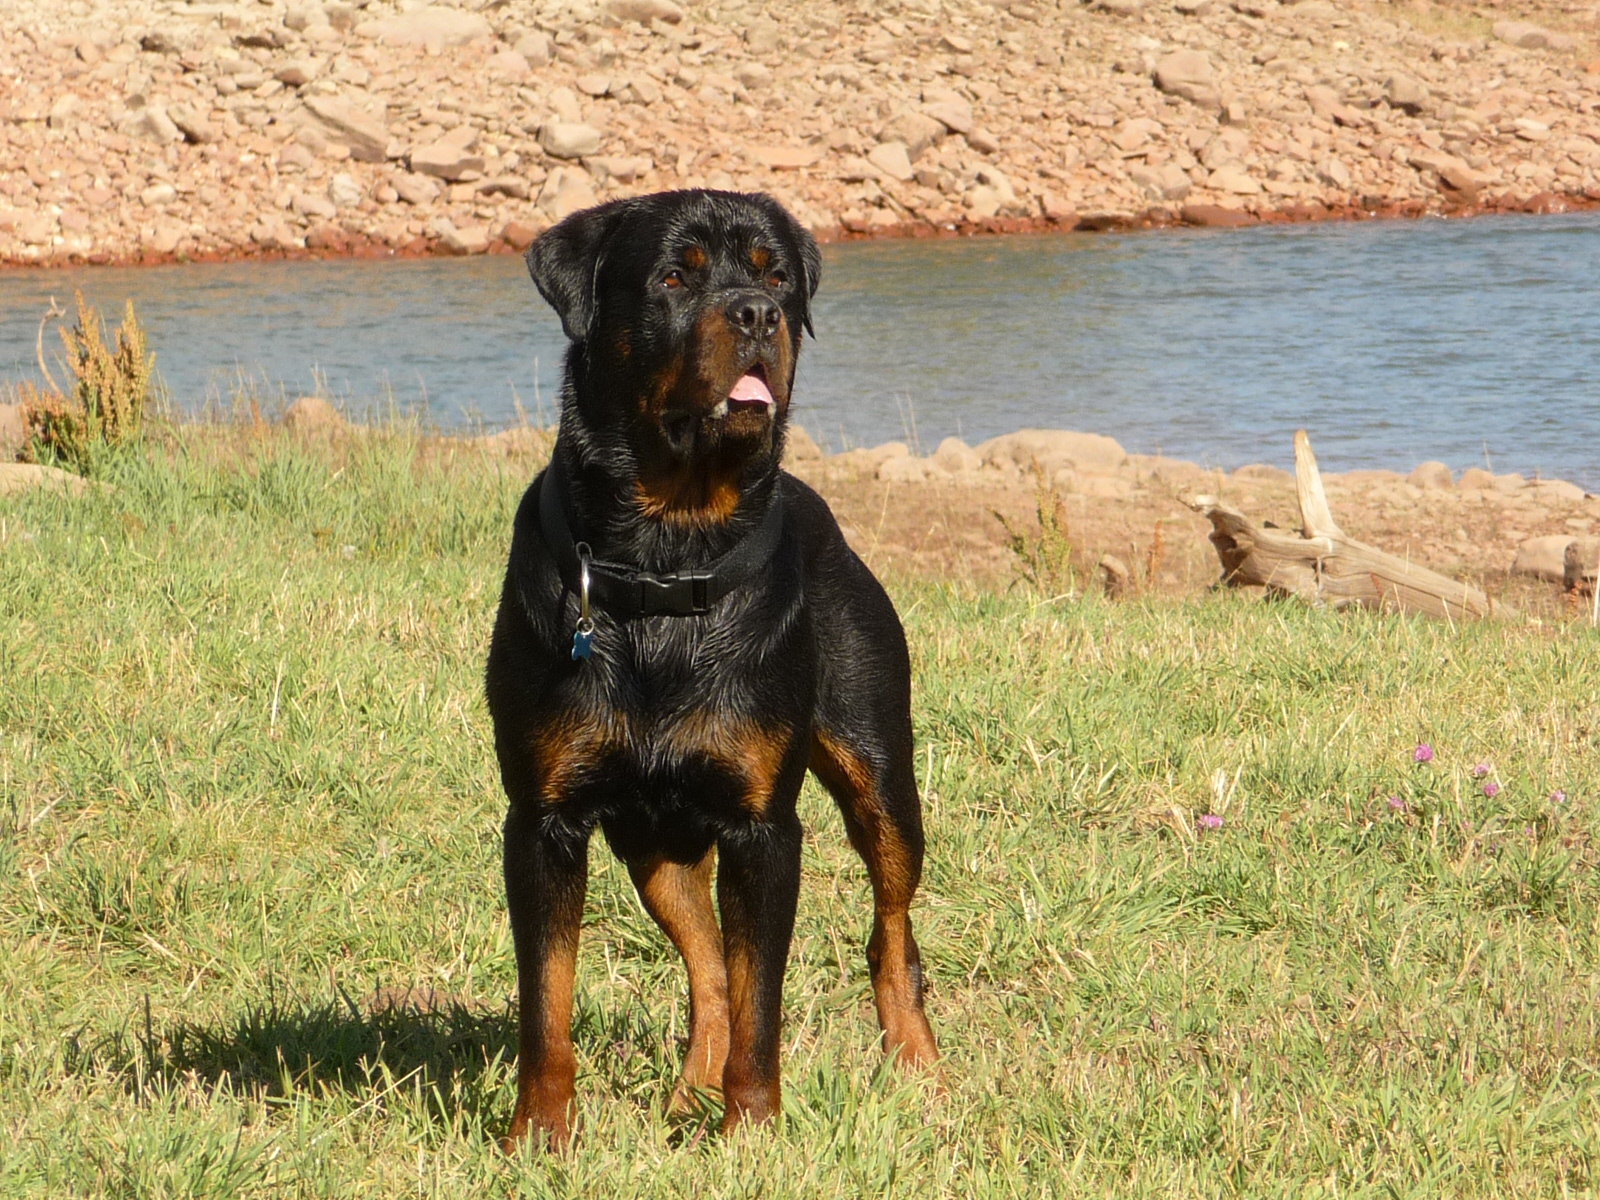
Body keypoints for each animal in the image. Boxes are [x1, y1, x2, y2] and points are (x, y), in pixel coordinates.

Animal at [486, 192, 934, 1152]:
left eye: (777, 276)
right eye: (673, 277)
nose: (759, 313)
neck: (667, 551)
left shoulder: (762, 828)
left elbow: (764, 996)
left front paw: (754, 1131)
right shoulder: (543, 821)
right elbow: (548, 1001)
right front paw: (538, 1136)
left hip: (880, 771)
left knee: (891, 928)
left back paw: (918, 1063)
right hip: (652, 840)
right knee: (707, 965)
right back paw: (692, 1091)